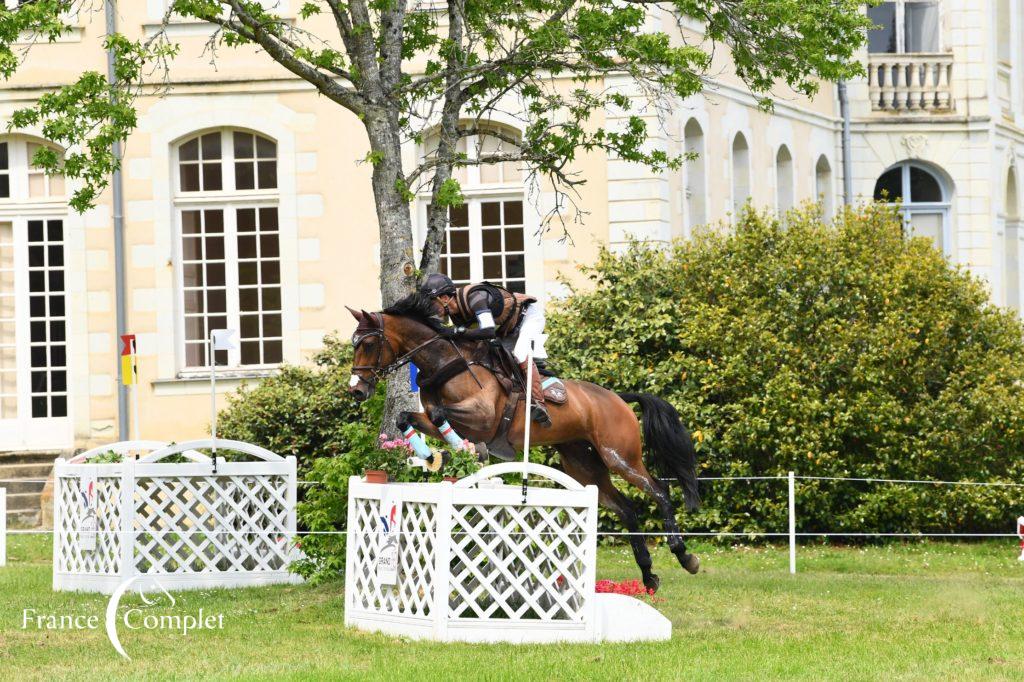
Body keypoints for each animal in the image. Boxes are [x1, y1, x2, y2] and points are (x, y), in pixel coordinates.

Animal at [348, 294, 700, 585]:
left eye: (368, 344)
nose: (356, 391)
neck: (445, 361)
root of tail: (617, 397)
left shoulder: (483, 417)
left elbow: (439, 416)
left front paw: (467, 452)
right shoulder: (446, 419)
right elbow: (408, 418)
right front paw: (437, 457)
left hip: (620, 455)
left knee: (660, 490)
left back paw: (684, 554)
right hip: (582, 465)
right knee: (627, 509)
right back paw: (648, 574)